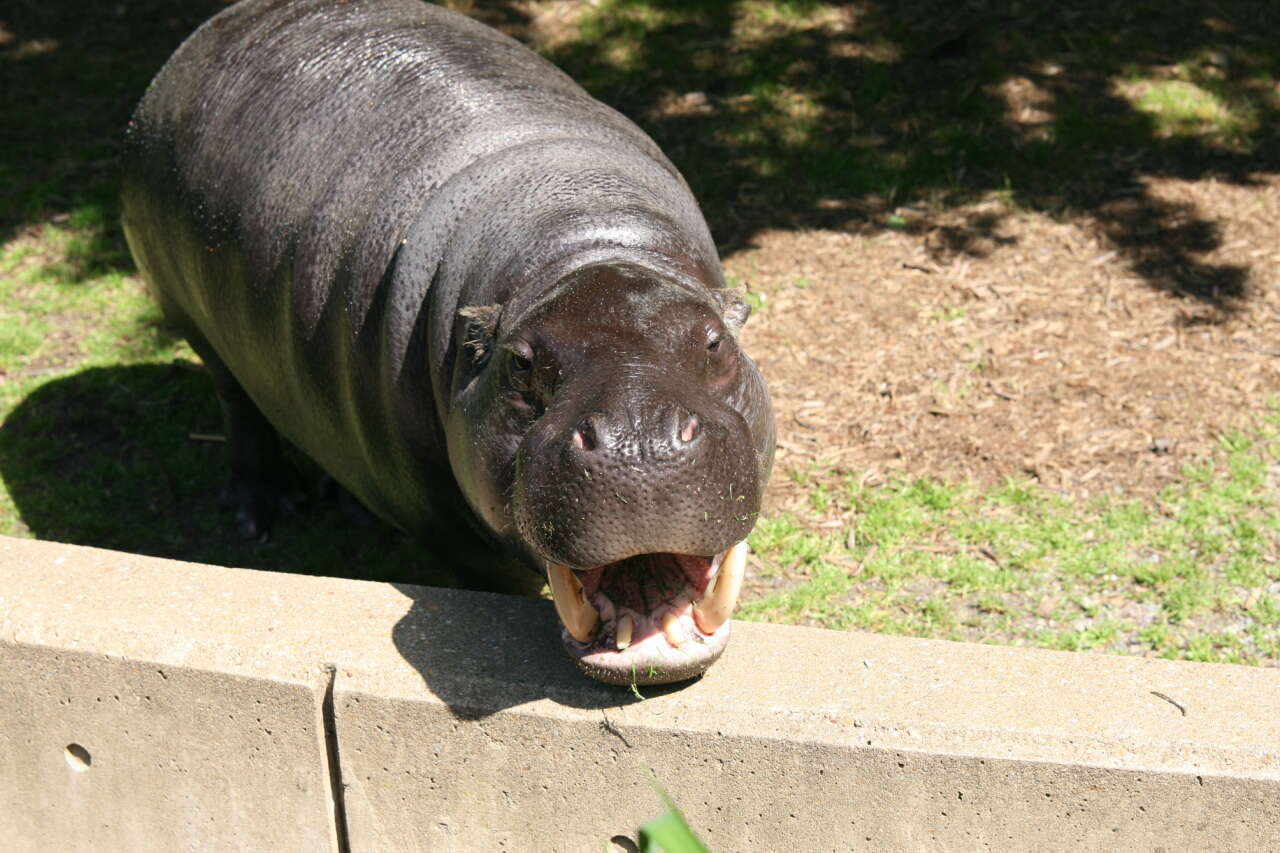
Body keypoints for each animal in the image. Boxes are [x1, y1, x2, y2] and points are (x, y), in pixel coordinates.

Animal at [122, 0, 768, 681]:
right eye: (518, 364)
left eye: (716, 343)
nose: (638, 443)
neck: (585, 238)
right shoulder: (459, 539)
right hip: (192, 324)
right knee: (240, 407)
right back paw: (260, 511)